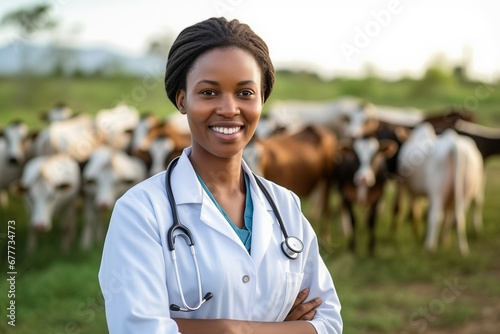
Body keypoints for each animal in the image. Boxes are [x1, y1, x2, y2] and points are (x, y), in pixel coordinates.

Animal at [394, 123, 484, 256]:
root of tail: (454, 144)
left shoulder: (405, 186)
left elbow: (409, 210)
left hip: (437, 191)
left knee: (436, 216)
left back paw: (429, 246)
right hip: (465, 190)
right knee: (458, 216)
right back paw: (460, 248)